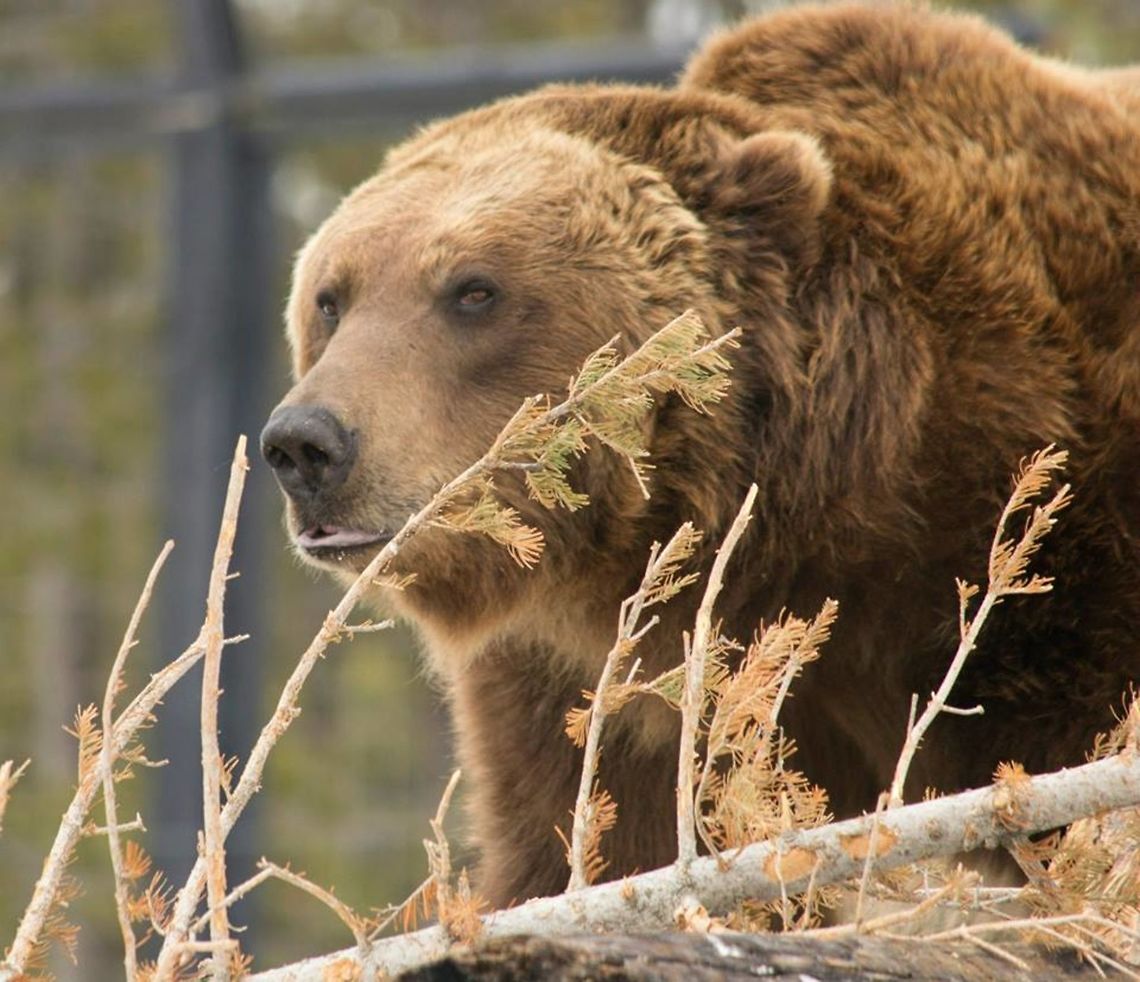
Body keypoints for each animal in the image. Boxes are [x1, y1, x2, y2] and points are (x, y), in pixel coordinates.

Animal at [260, 2, 1140, 909]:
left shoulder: (1052, 587)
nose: (306, 443)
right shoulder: (598, 692)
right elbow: (599, 846)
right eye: (331, 298)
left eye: (473, 289)